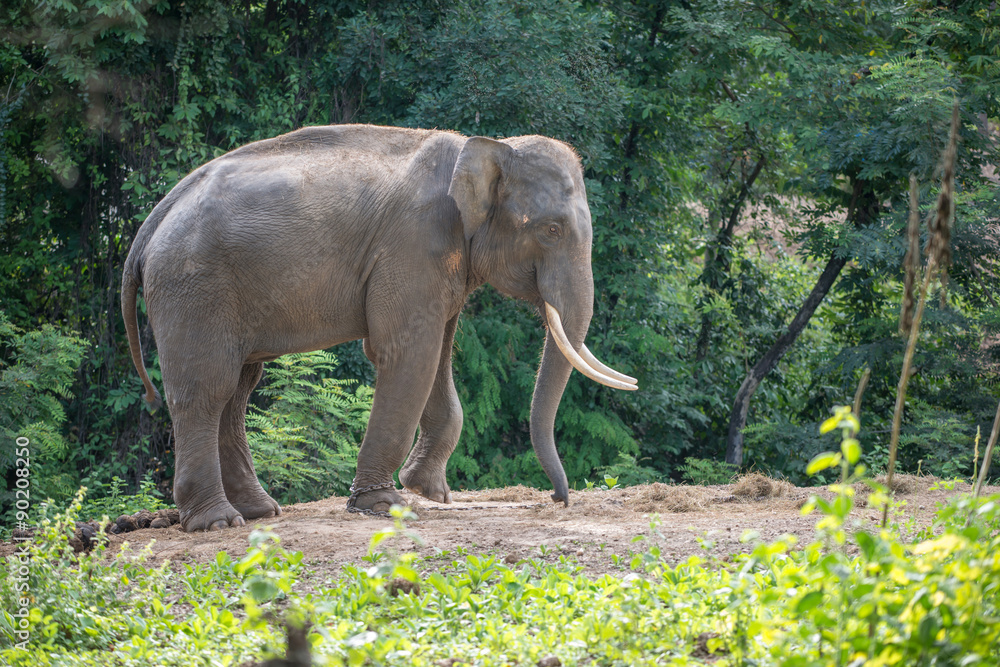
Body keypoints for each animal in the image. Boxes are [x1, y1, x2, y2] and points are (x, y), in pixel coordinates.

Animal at [121, 124, 636, 532]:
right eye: (551, 230)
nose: (556, 499)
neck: (487, 146)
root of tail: (153, 221)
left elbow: (438, 352)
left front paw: (428, 491)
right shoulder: (414, 244)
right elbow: (407, 353)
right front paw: (385, 503)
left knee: (239, 386)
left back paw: (260, 512)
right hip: (194, 286)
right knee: (209, 389)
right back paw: (217, 523)